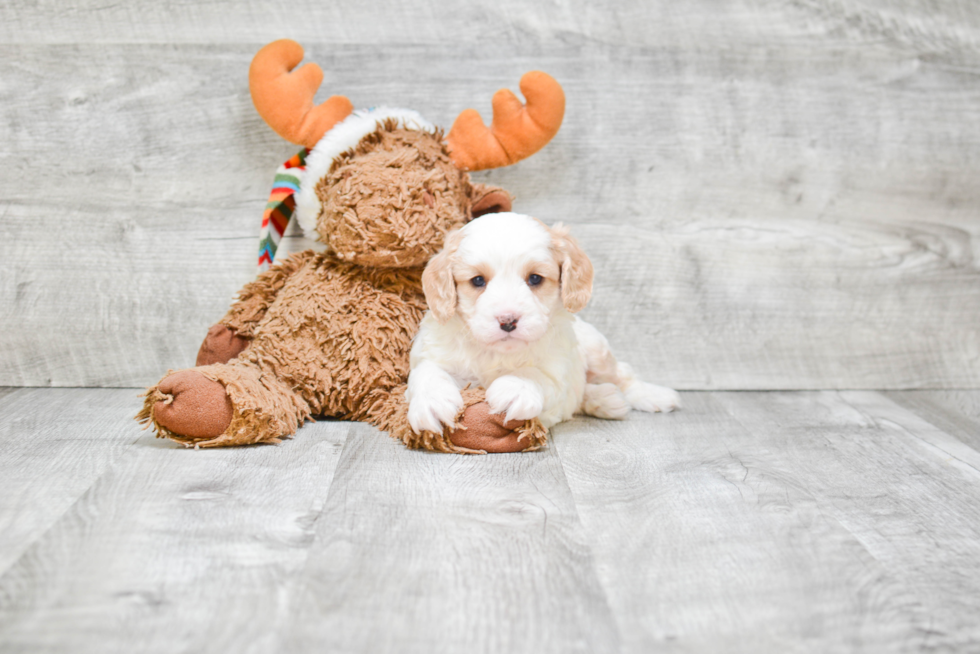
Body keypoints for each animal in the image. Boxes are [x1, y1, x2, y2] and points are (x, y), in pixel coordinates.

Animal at [406, 214, 680, 436]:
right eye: (478, 281)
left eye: (535, 278)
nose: (508, 320)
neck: (495, 353)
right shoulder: (434, 353)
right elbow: (427, 372)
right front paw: (432, 402)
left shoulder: (558, 373)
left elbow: (536, 375)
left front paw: (514, 387)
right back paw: (606, 400)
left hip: (596, 349)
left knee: (622, 374)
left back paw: (652, 395)